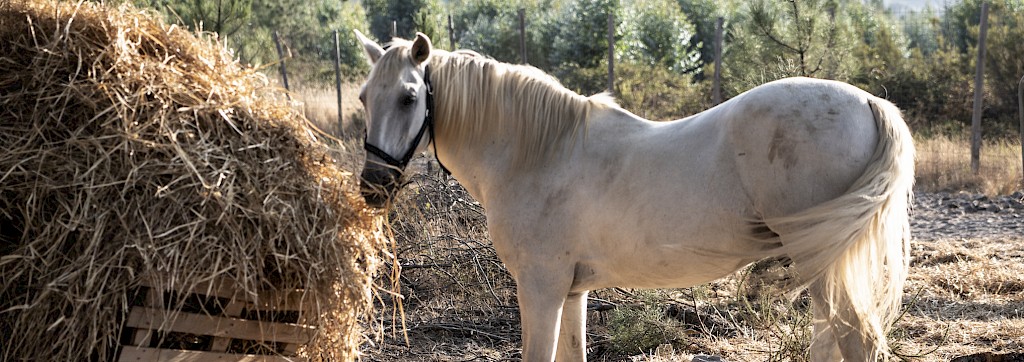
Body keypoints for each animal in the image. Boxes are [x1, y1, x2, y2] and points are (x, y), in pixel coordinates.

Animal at [356, 31, 917, 362]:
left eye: (409, 96)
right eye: (363, 96)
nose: (372, 186)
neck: (540, 151)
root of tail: (868, 102)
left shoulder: (540, 287)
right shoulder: (572, 291)